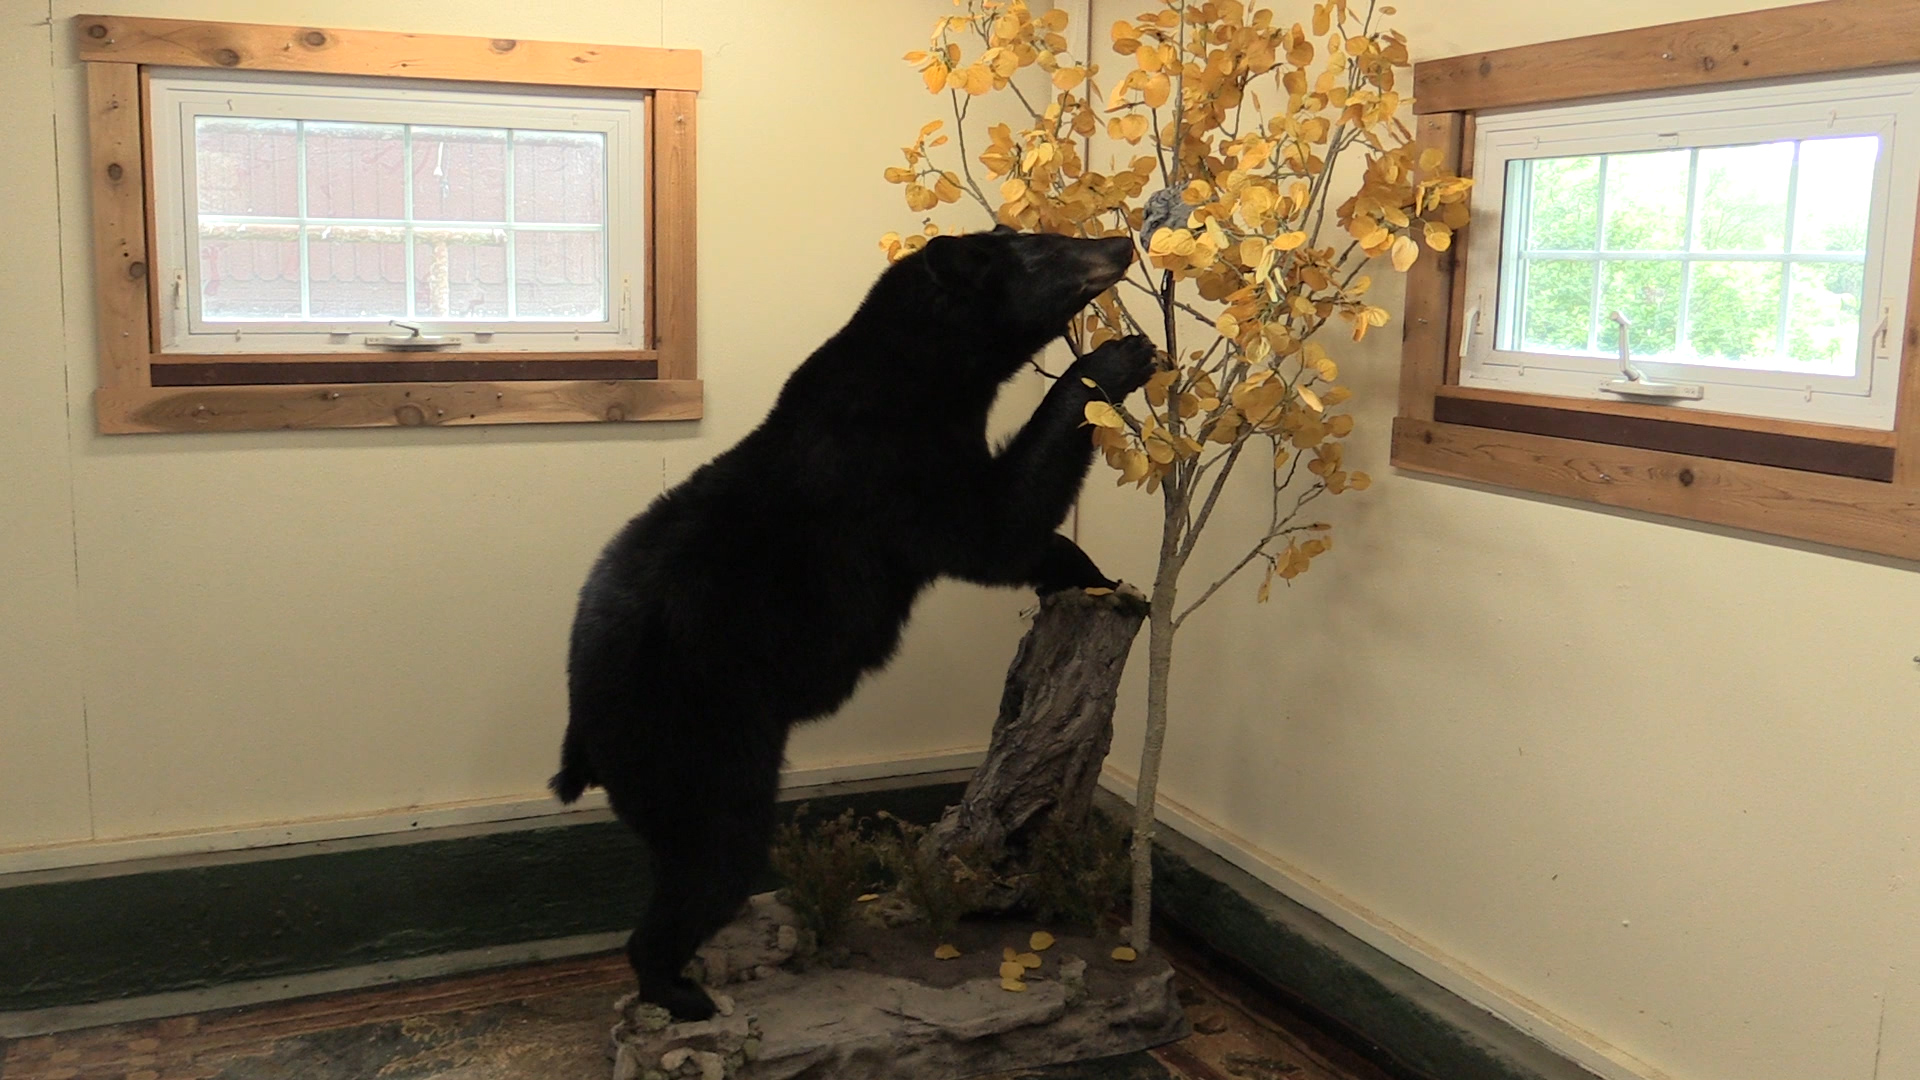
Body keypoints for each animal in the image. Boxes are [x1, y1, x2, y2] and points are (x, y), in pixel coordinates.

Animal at [551, 226, 1156, 1022]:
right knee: (715, 854)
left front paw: (1099, 578)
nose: (1118, 239)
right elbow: (992, 527)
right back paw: (680, 991)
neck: (925, 371)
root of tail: (578, 725)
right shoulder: (890, 467)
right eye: (1046, 247)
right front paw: (1115, 360)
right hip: (691, 735)